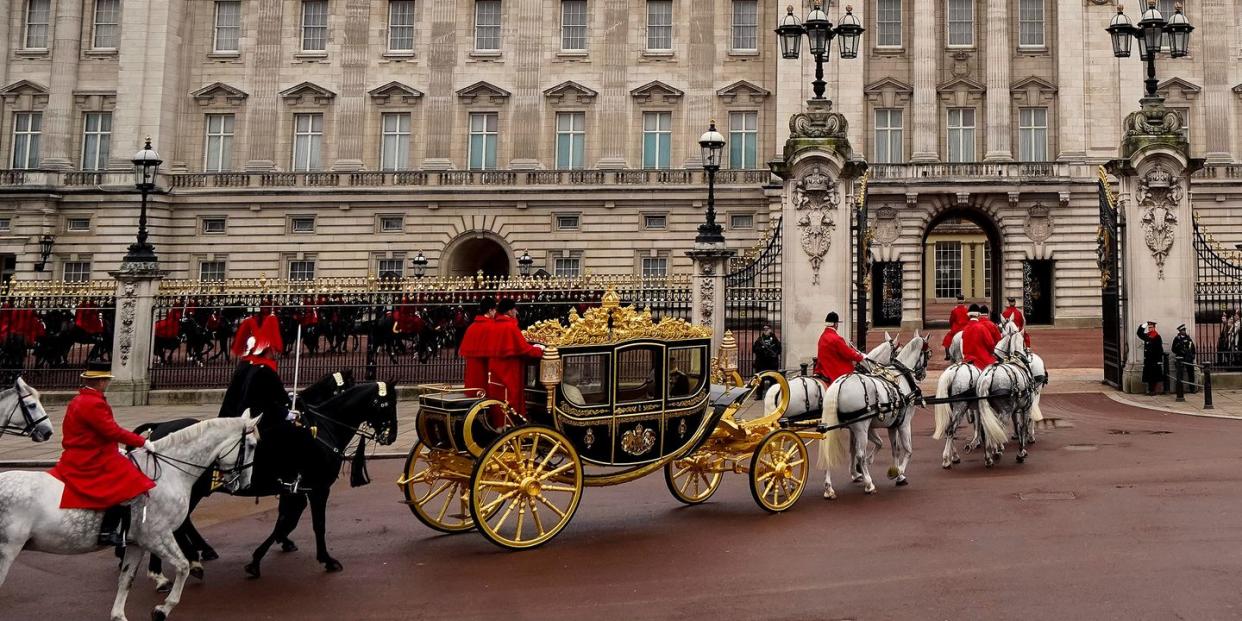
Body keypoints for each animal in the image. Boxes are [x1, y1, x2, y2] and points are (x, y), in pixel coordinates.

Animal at [0, 412, 258, 621]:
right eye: (253, 445)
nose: (245, 484)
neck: (167, 474)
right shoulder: (157, 536)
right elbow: (183, 567)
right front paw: (162, 609)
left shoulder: (137, 543)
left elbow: (126, 580)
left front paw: (119, 615)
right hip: (7, 550)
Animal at [814, 332, 933, 496]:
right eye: (928, 353)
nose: (922, 375)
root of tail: (839, 384)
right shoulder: (903, 423)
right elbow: (908, 450)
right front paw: (899, 473)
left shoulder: (890, 425)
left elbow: (893, 448)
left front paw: (894, 473)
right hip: (861, 427)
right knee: (860, 454)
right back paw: (869, 484)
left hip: (836, 427)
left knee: (829, 452)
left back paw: (829, 488)